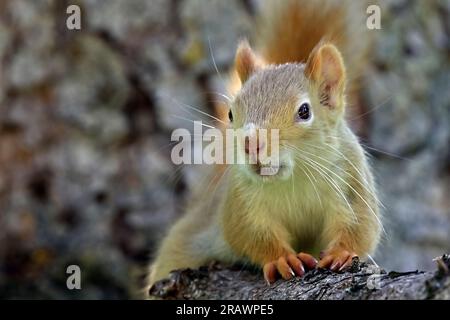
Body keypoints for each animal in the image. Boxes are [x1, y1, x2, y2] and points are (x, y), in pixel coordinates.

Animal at [146, 0, 382, 290]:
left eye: (305, 111)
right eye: (231, 113)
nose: (251, 143)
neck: (293, 179)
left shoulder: (351, 181)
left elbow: (361, 225)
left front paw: (342, 253)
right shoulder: (242, 200)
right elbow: (250, 232)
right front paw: (282, 259)